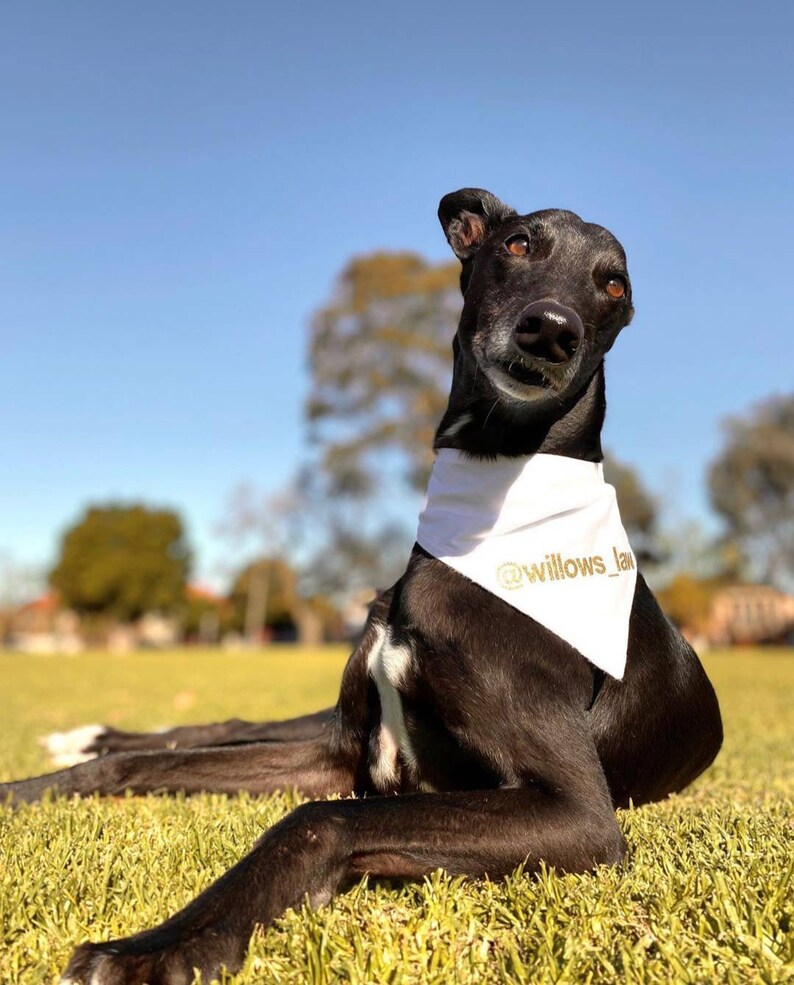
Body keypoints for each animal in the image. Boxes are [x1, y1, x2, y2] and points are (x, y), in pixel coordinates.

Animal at [0, 190, 720, 984]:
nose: (552, 331)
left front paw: (163, 944)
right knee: (214, 729)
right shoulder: (345, 750)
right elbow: (150, 765)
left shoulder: (577, 813)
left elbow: (317, 818)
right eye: (520, 243)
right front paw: (24, 792)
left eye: (613, 284)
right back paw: (89, 737)